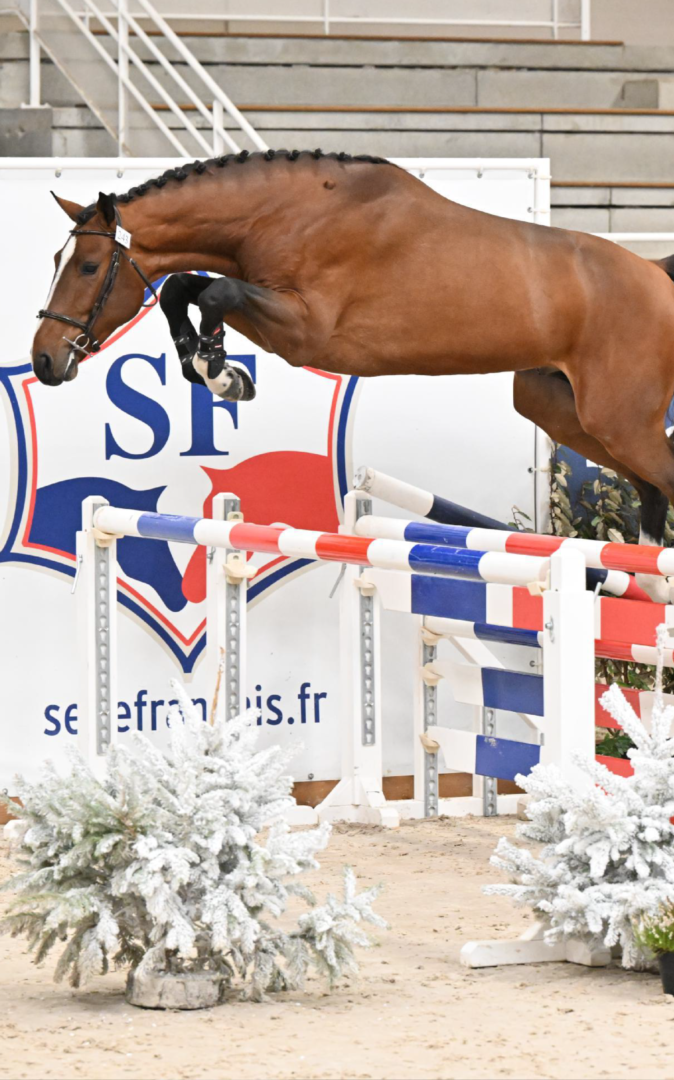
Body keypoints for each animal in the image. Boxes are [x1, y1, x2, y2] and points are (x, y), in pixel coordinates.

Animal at [31, 149, 674, 600]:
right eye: (58, 260)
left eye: (89, 266)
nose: (43, 360)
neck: (282, 215)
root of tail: (657, 276)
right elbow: (184, 288)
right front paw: (206, 365)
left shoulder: (303, 330)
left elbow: (214, 291)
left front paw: (220, 374)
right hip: (564, 414)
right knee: (650, 488)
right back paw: (651, 582)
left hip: (618, 418)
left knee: (659, 478)